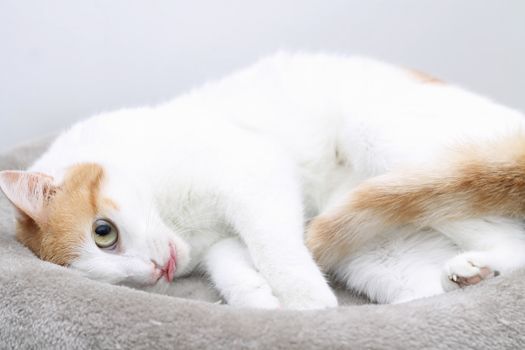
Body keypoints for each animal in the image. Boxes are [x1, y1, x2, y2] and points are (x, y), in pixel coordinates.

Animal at [1, 52, 524, 306]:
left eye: (102, 232)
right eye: (119, 283)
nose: (154, 272)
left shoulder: (255, 172)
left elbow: (276, 252)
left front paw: (307, 306)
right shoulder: (220, 241)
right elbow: (233, 265)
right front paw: (258, 301)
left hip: (385, 144)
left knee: (514, 242)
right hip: (376, 253)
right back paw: (469, 277)